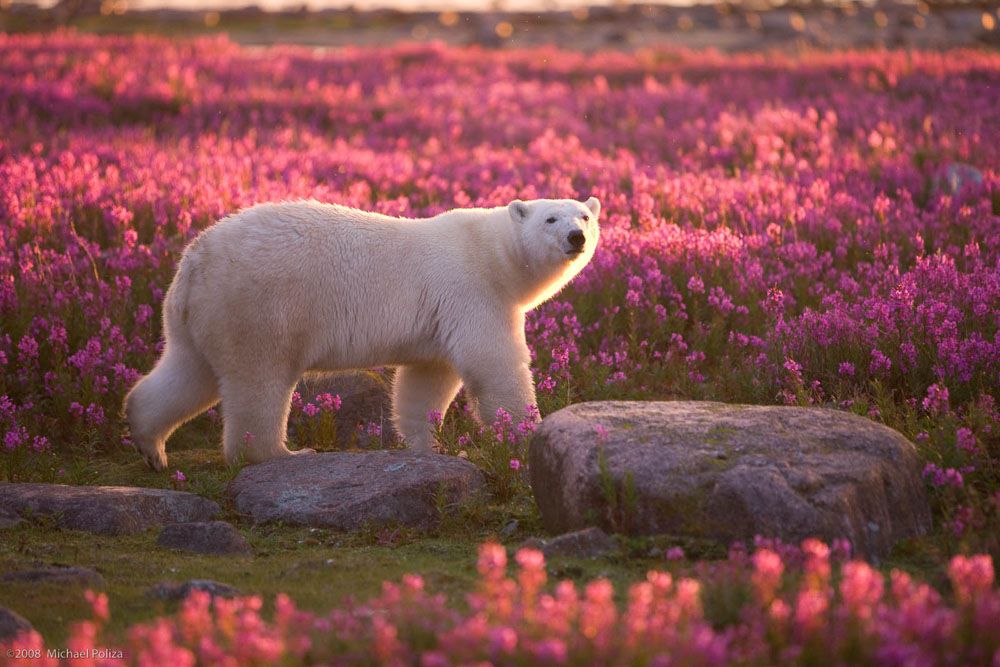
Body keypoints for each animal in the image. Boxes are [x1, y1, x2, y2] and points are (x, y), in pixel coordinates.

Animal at [123, 197, 600, 470]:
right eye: (551, 218)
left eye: (585, 215)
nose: (576, 237)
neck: (495, 253)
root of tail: (193, 262)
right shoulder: (473, 290)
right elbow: (495, 365)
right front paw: (521, 436)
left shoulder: (440, 318)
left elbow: (425, 382)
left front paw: (432, 447)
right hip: (259, 307)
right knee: (259, 382)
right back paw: (282, 453)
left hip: (201, 317)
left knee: (189, 372)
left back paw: (151, 446)